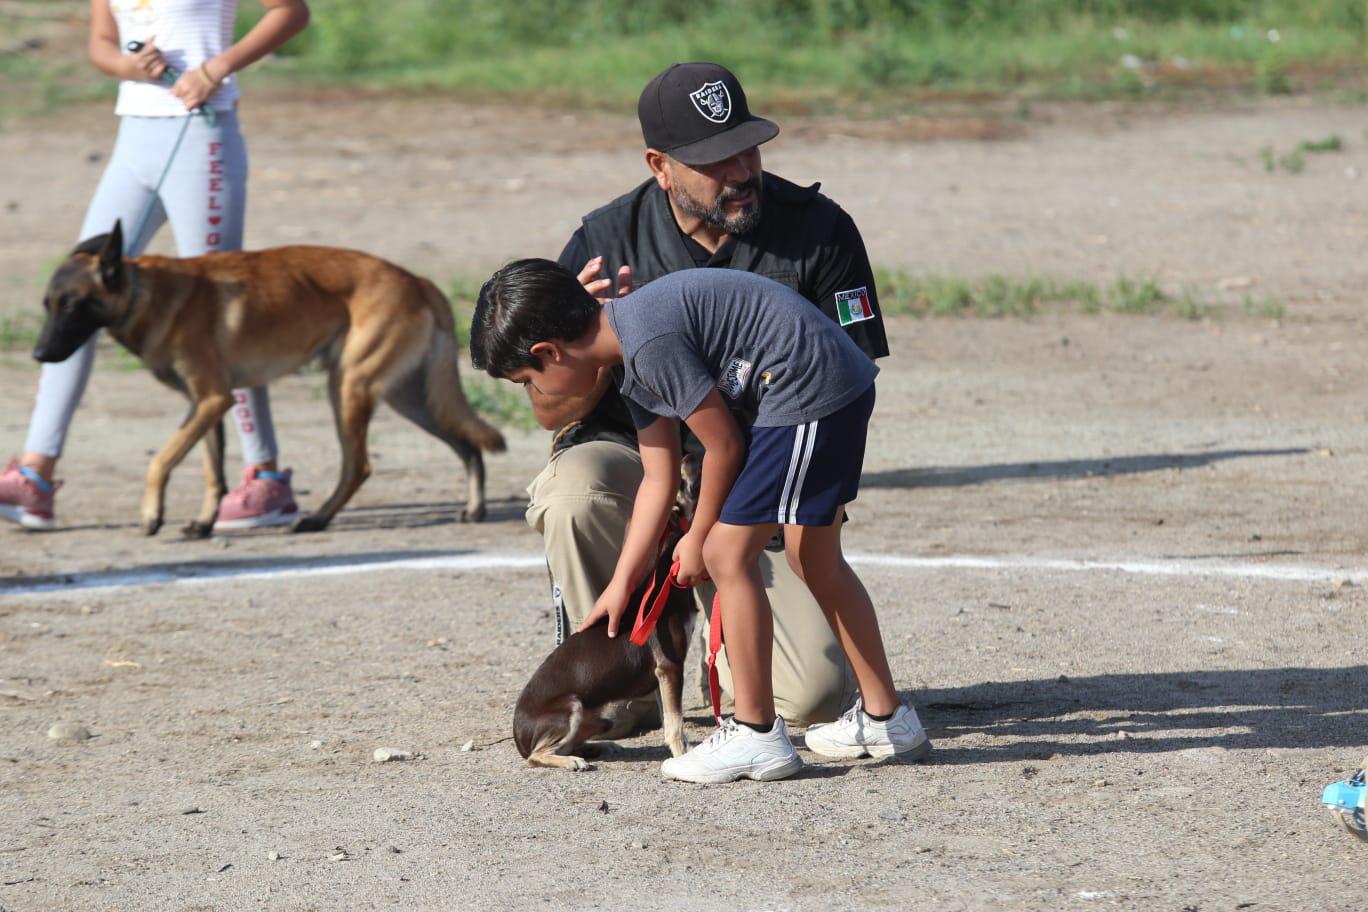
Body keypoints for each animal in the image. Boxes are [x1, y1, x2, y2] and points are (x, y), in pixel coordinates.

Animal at [34, 221, 506, 535]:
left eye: (72, 305)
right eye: (48, 304)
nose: (39, 354)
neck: (144, 292)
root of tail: (418, 280)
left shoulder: (211, 399)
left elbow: (160, 460)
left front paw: (152, 514)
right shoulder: (205, 406)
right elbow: (211, 471)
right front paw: (203, 522)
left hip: (347, 388)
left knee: (359, 465)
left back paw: (317, 519)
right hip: (407, 398)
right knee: (466, 445)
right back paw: (475, 506)